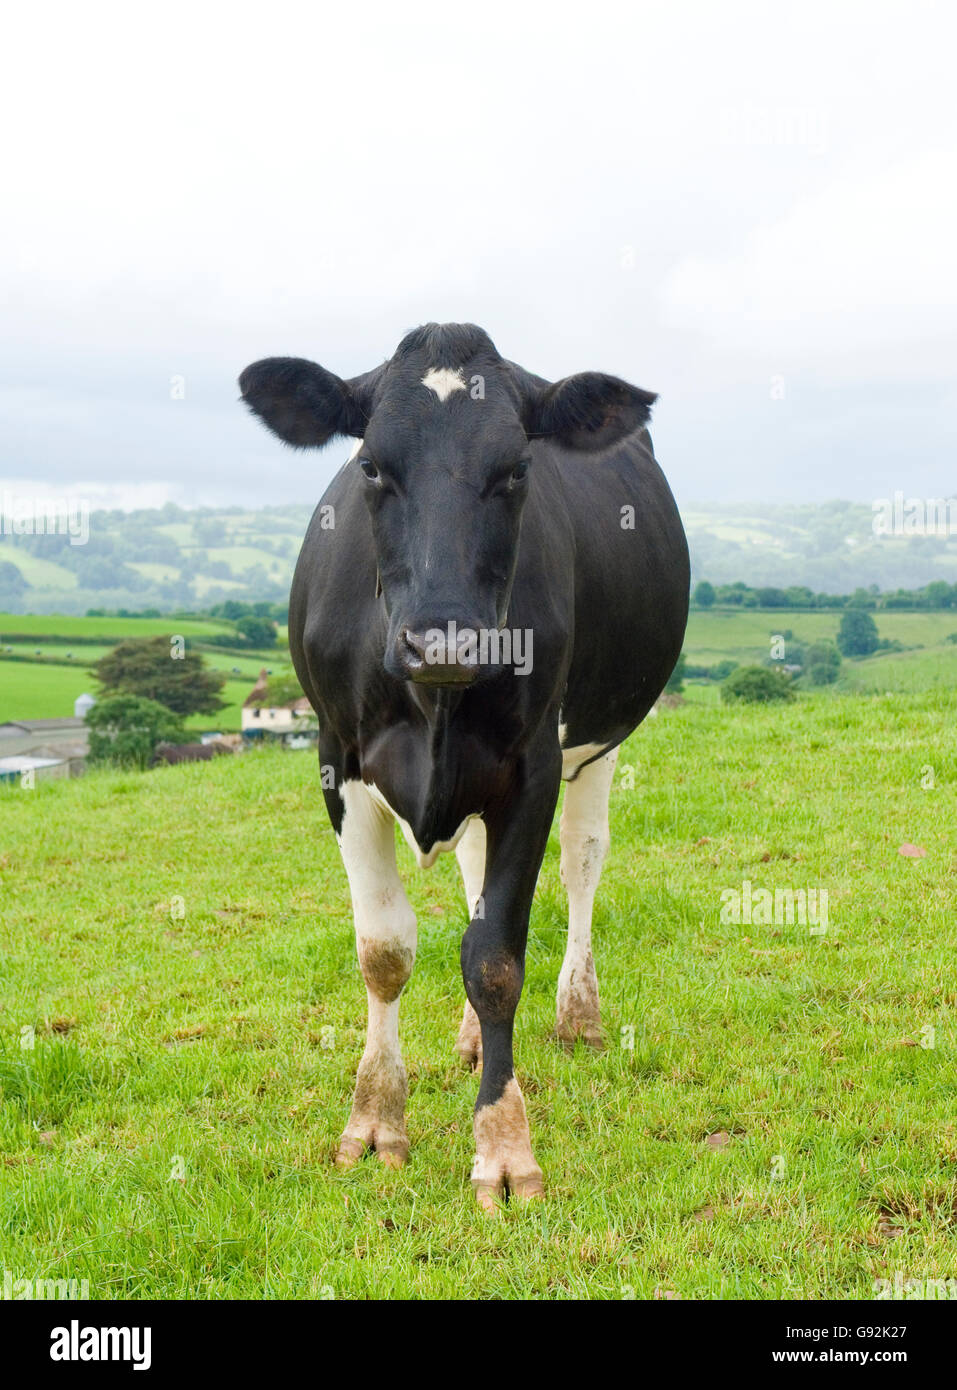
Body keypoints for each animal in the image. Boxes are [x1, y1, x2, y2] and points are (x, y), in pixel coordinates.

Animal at [239, 322, 687, 1206]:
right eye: (371, 465)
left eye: (515, 470)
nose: (443, 641)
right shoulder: (336, 760)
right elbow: (385, 950)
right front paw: (375, 1119)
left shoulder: (532, 767)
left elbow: (495, 959)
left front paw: (504, 1147)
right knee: (474, 868)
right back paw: (473, 1039)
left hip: (601, 739)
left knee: (582, 861)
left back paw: (578, 1013)